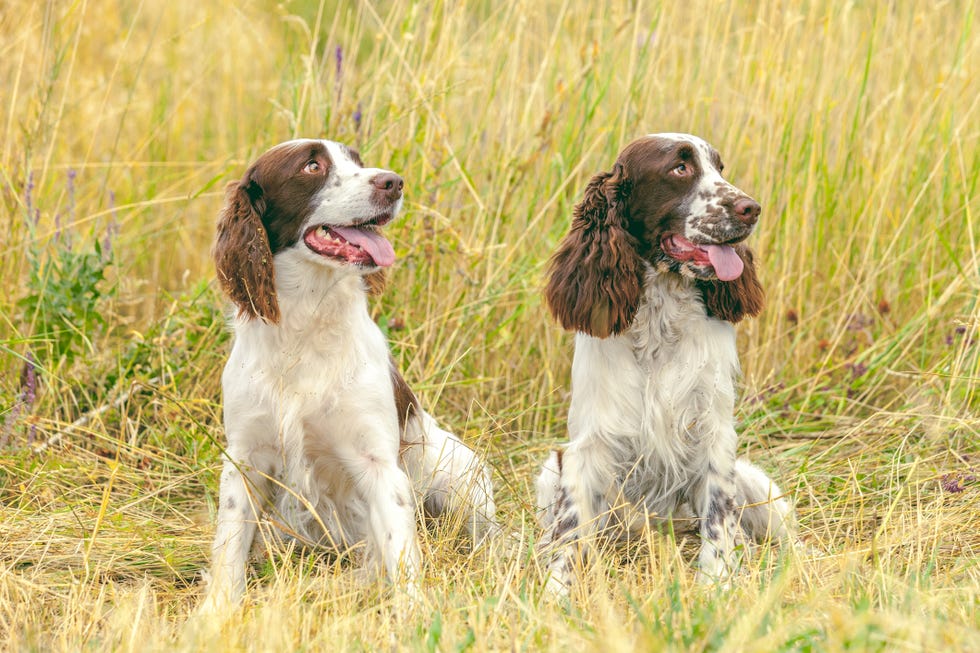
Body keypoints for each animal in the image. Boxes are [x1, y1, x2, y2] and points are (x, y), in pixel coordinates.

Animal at [203, 139, 498, 612]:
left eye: (357, 161)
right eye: (311, 165)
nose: (393, 182)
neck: (305, 328)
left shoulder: (377, 464)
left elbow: (400, 551)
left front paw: (414, 613)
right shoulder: (245, 460)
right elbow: (229, 547)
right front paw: (215, 611)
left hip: (459, 475)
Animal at [536, 135, 796, 592]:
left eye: (720, 168)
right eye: (679, 168)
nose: (751, 208)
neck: (660, 324)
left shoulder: (714, 437)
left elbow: (719, 520)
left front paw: (717, 583)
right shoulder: (586, 447)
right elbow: (567, 531)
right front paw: (555, 593)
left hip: (757, 484)